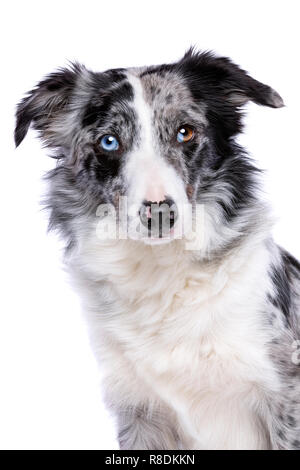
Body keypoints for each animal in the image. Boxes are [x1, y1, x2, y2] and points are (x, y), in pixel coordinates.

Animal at [14, 49, 300, 450]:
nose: (160, 214)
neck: (163, 274)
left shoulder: (285, 399)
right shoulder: (139, 411)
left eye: (185, 132)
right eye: (109, 142)